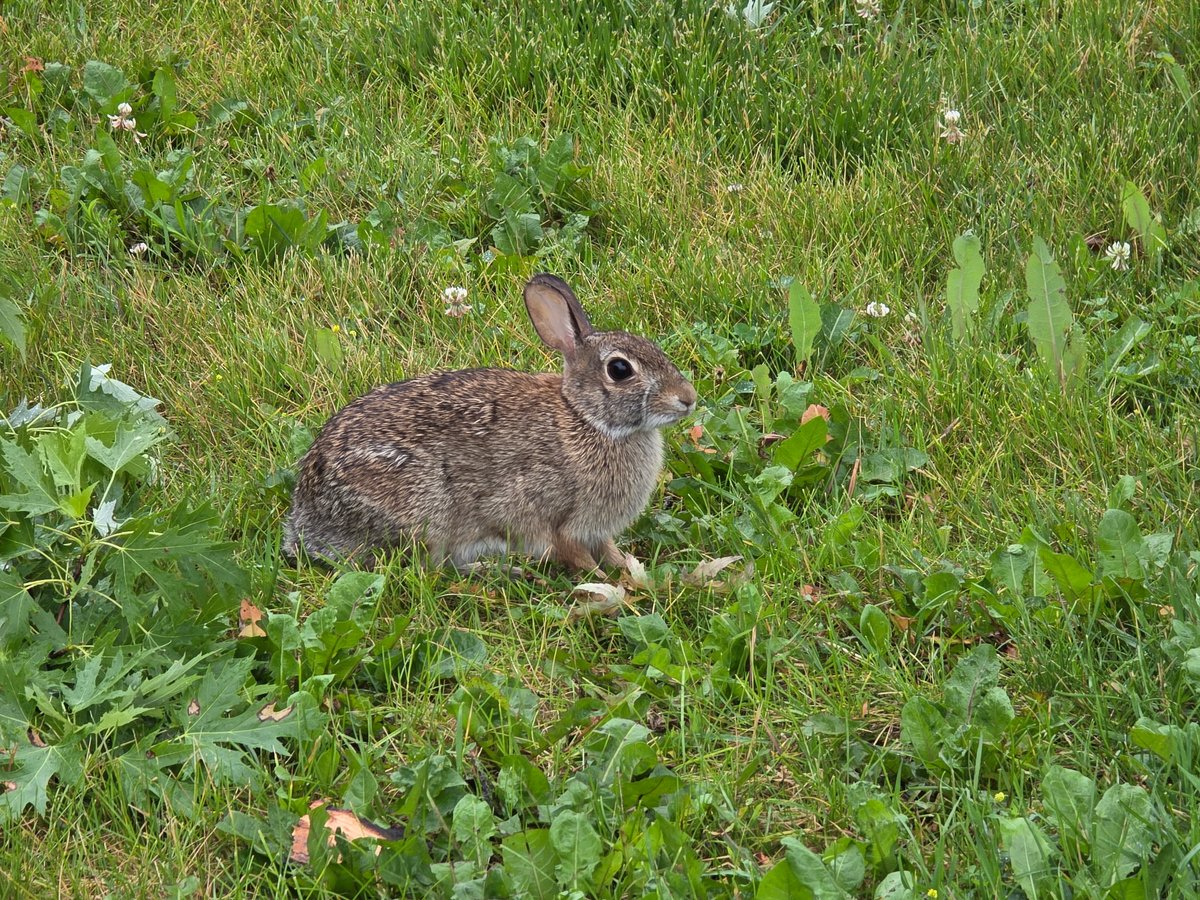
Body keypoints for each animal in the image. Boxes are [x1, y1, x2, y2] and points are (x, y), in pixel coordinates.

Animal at [282, 274, 698, 572]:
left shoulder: (595, 531)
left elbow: (610, 553)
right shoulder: (554, 520)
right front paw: (611, 588)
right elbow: (577, 557)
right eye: (620, 370)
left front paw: (633, 573)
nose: (688, 398)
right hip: (423, 515)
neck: (585, 418)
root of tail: (306, 518)